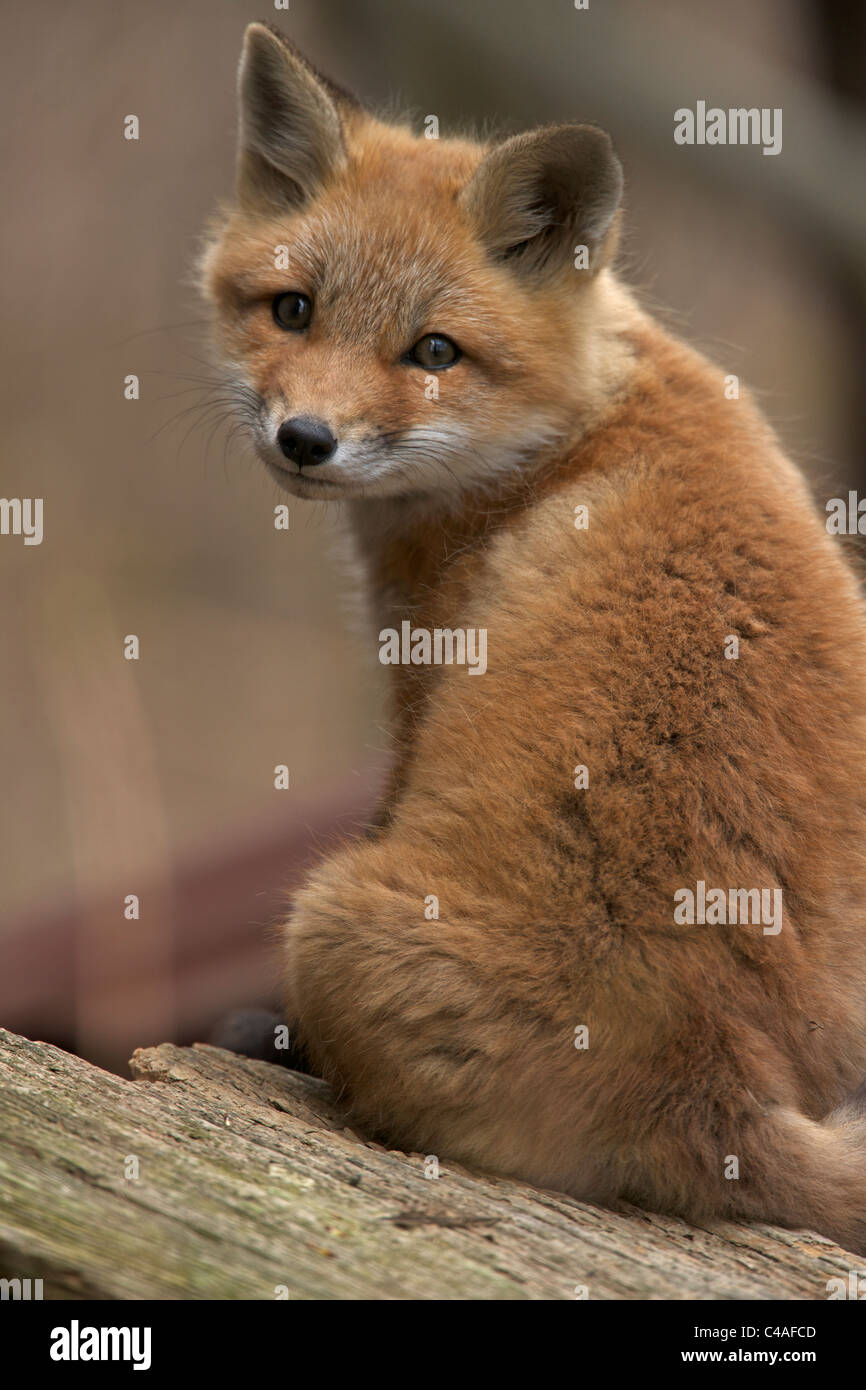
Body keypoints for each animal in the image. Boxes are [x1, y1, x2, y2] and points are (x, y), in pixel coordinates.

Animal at [200, 21, 866, 1256]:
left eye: (433, 352)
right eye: (293, 310)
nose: (305, 439)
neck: (571, 429)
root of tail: (712, 1082)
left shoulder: (415, 684)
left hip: (325, 911)